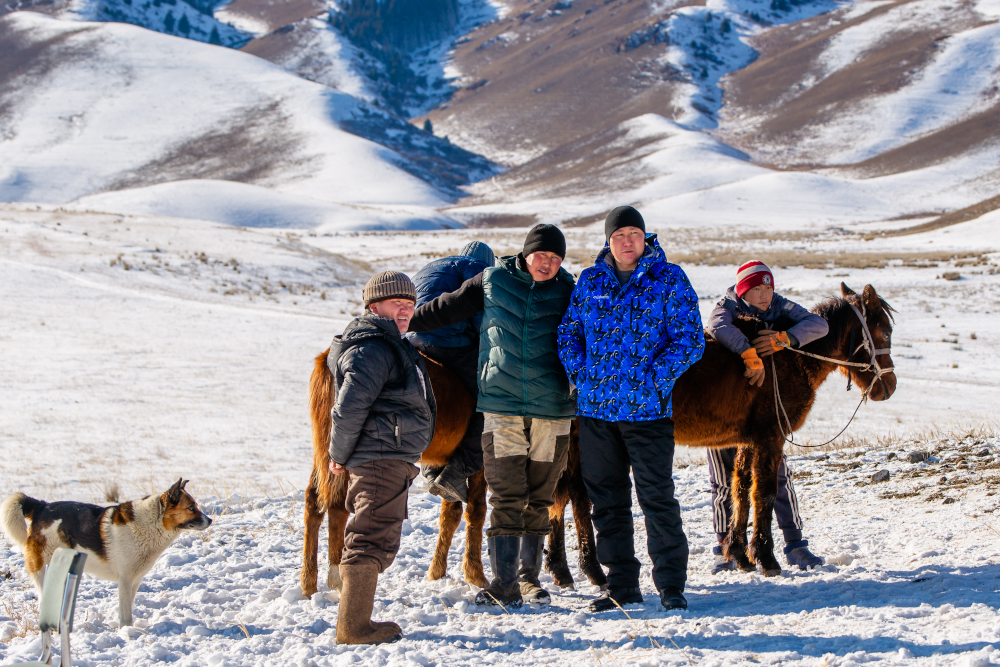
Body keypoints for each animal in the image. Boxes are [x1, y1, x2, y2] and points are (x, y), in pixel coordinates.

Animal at [0, 480, 211, 628]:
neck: (152, 523)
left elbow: (128, 607)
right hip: (40, 567)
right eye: (191, 508)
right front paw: (126, 632)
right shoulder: (124, 579)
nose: (210, 520)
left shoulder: (135, 581)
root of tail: (41, 506)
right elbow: (125, 614)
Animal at [548, 284, 900, 580]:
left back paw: (562, 571)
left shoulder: (747, 440)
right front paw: (765, 558)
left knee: (562, 495)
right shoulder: (770, 438)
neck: (786, 359)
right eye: (884, 331)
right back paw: (591, 570)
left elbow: (740, 489)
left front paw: (739, 554)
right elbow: (764, 493)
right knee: (576, 495)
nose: (890, 386)